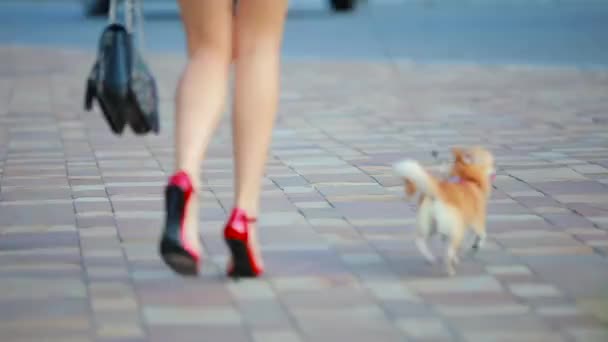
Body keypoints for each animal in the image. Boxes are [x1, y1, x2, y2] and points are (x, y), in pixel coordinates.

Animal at [392, 147, 496, 276]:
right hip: (455, 230)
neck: (469, 179)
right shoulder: (476, 222)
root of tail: (437, 193)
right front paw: (475, 247)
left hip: (429, 226)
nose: (496, 169)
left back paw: (430, 258)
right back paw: (450, 270)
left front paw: (460, 255)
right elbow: (481, 236)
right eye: (490, 162)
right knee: (448, 253)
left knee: (420, 240)